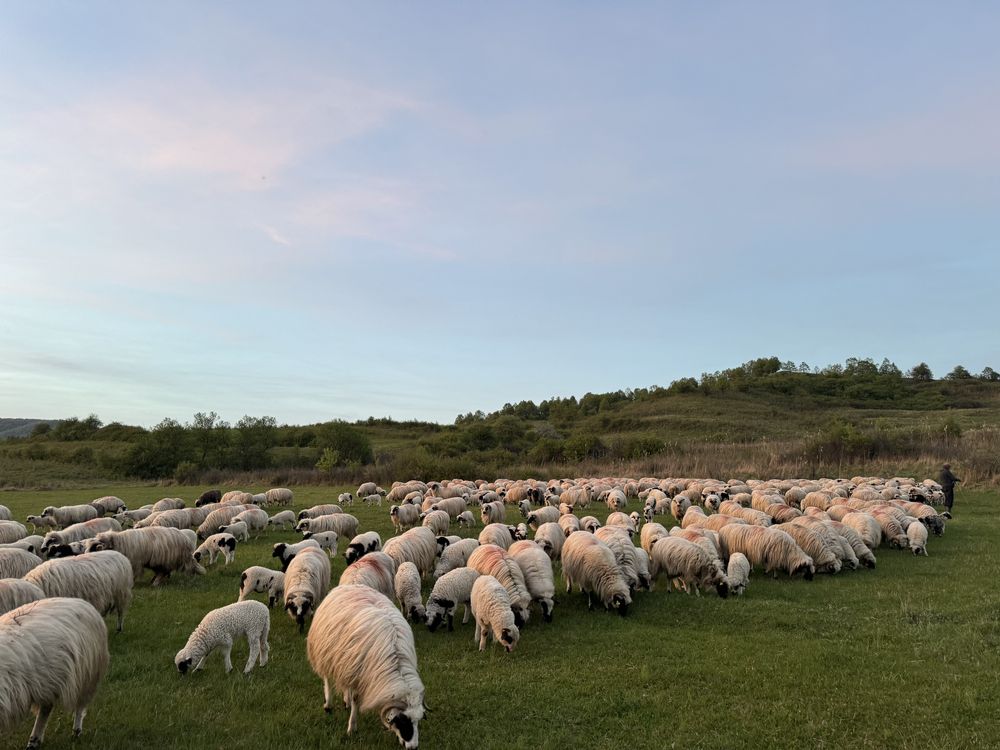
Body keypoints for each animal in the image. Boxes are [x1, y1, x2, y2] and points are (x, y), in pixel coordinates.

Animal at [0, 600, 109, 750]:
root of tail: (84, 603)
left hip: (88, 674)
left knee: (80, 706)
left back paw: (76, 731)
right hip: (49, 681)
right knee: (46, 708)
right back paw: (35, 740)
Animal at [308, 588, 426, 750]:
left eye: (418, 721)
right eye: (403, 721)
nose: (413, 747)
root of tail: (349, 586)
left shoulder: (357, 671)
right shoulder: (358, 675)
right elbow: (356, 700)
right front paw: (352, 728)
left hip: (346, 662)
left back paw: (346, 701)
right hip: (326, 653)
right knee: (327, 678)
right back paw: (328, 704)